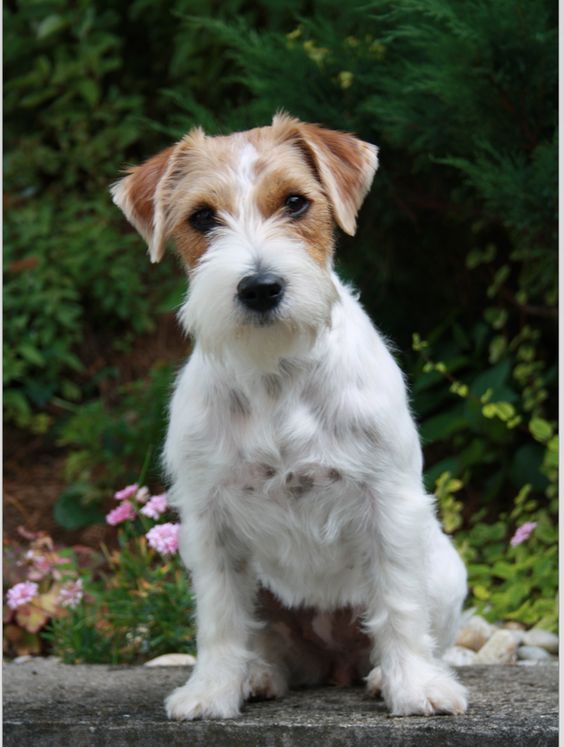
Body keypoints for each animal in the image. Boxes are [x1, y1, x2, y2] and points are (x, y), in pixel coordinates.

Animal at [110, 115, 468, 720]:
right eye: (202, 216)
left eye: (296, 202)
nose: (260, 287)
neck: (276, 371)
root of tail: (335, 663)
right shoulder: (211, 523)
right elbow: (220, 619)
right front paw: (212, 690)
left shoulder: (388, 502)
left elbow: (399, 602)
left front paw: (416, 687)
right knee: (265, 641)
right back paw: (257, 675)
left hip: (444, 569)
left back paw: (384, 675)